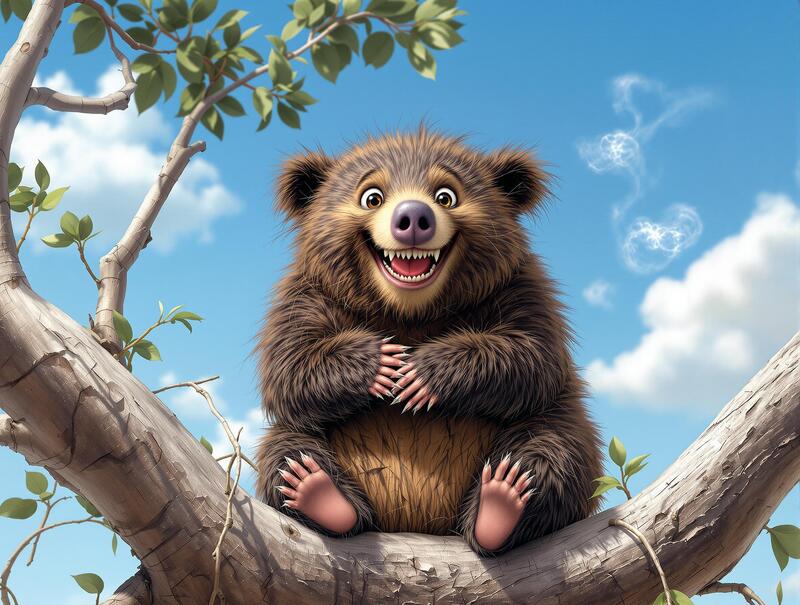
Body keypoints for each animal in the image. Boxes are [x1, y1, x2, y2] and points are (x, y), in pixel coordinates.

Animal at [255, 128, 602, 555]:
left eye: (446, 195)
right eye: (372, 196)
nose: (412, 218)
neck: (410, 311)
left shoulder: (521, 289)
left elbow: (531, 355)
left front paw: (418, 375)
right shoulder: (305, 295)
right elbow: (290, 365)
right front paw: (385, 365)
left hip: (558, 430)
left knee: (555, 451)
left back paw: (503, 499)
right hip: (302, 442)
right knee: (286, 451)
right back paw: (315, 489)